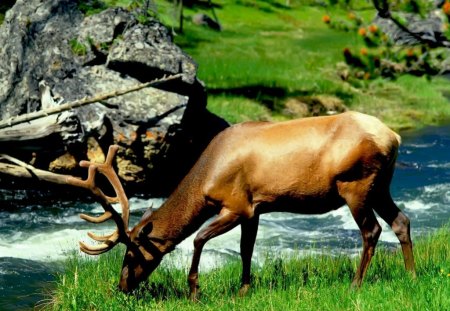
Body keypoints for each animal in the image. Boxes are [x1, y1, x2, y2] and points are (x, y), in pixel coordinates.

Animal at [68, 111, 416, 300]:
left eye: (131, 254)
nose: (121, 286)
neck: (206, 180)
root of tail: (394, 137)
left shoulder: (236, 205)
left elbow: (198, 239)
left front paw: (194, 291)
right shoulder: (256, 208)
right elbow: (246, 249)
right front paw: (244, 289)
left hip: (356, 185)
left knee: (372, 230)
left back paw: (355, 284)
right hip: (379, 187)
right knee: (401, 221)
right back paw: (412, 274)